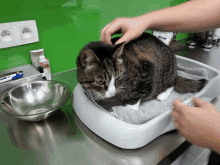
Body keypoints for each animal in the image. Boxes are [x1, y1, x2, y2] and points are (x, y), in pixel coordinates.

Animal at [76, 32, 207, 110]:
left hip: (166, 72)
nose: (113, 92)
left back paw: (162, 94)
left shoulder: (146, 71)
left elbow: (137, 97)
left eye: (117, 77)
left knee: (172, 83)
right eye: (100, 82)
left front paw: (129, 108)